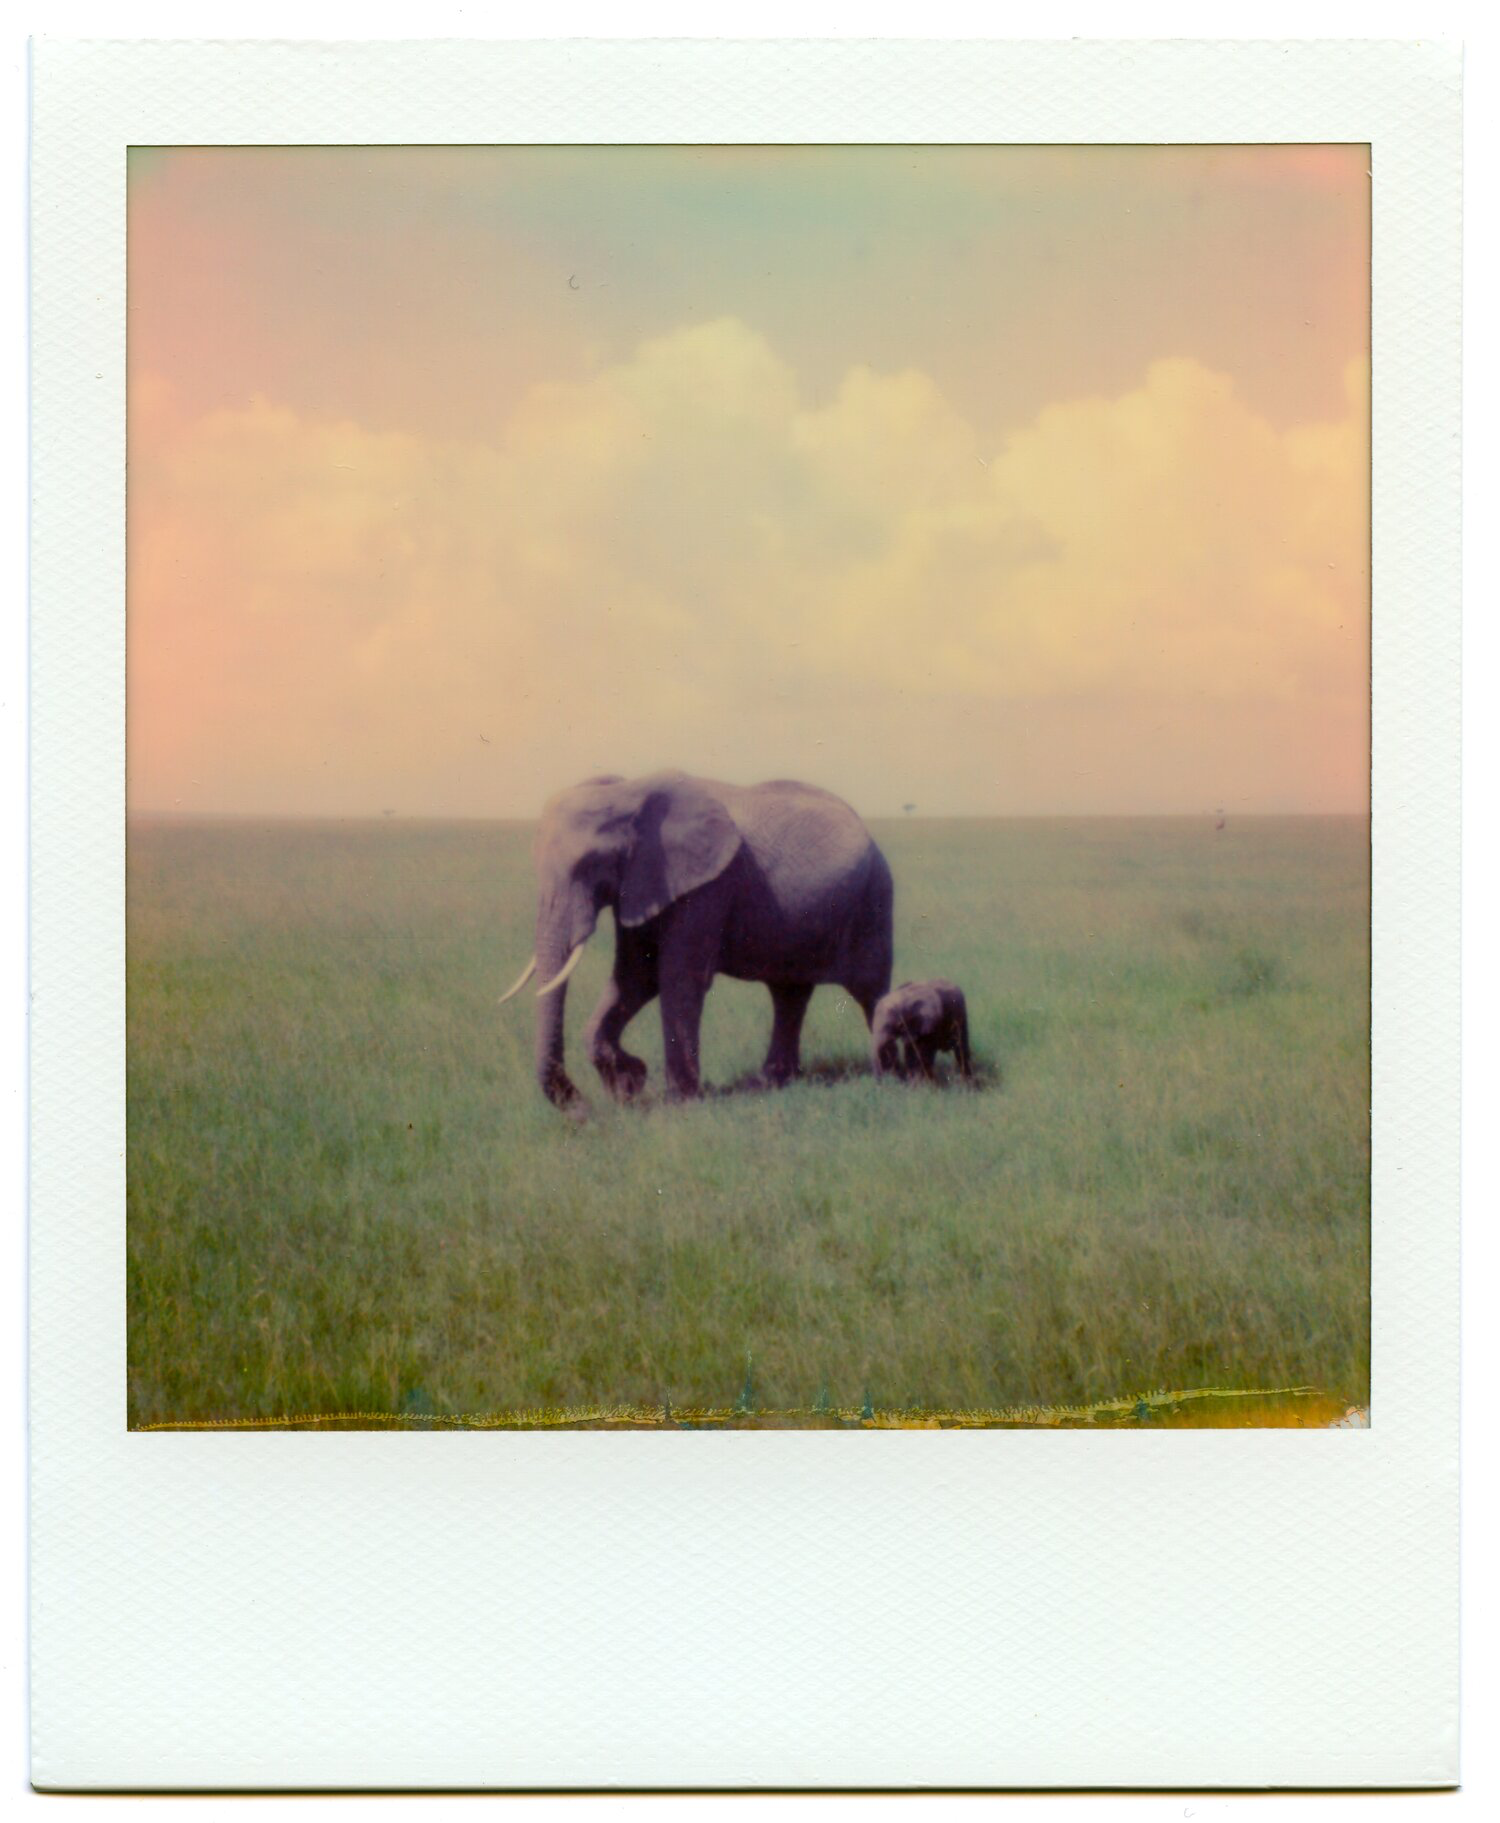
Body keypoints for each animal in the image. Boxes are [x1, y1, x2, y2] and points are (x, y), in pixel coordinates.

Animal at [499, 771, 894, 1108]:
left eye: (590, 865)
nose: (582, 1111)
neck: (629, 791)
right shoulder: (642, 883)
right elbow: (635, 977)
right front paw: (629, 1086)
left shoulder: (707, 886)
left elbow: (679, 979)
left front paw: (679, 1101)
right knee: (788, 994)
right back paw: (772, 1082)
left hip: (871, 901)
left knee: (871, 991)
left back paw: (888, 1077)